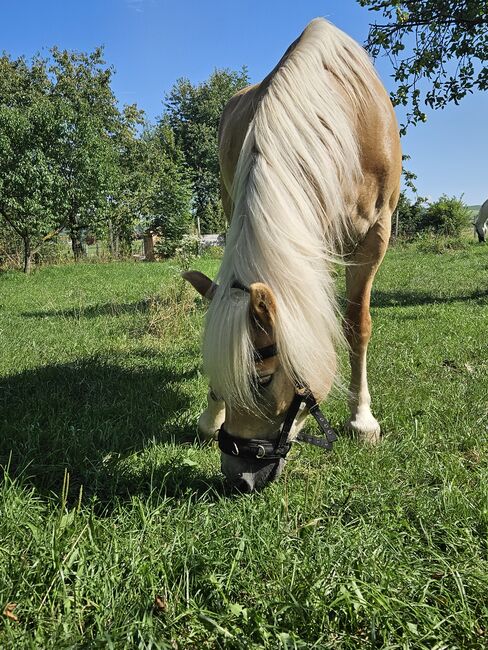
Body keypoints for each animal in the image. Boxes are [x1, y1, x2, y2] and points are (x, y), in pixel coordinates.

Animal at [185, 17, 402, 488]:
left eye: (263, 380)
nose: (240, 478)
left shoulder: (376, 233)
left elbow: (356, 324)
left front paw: (362, 419)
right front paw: (212, 413)